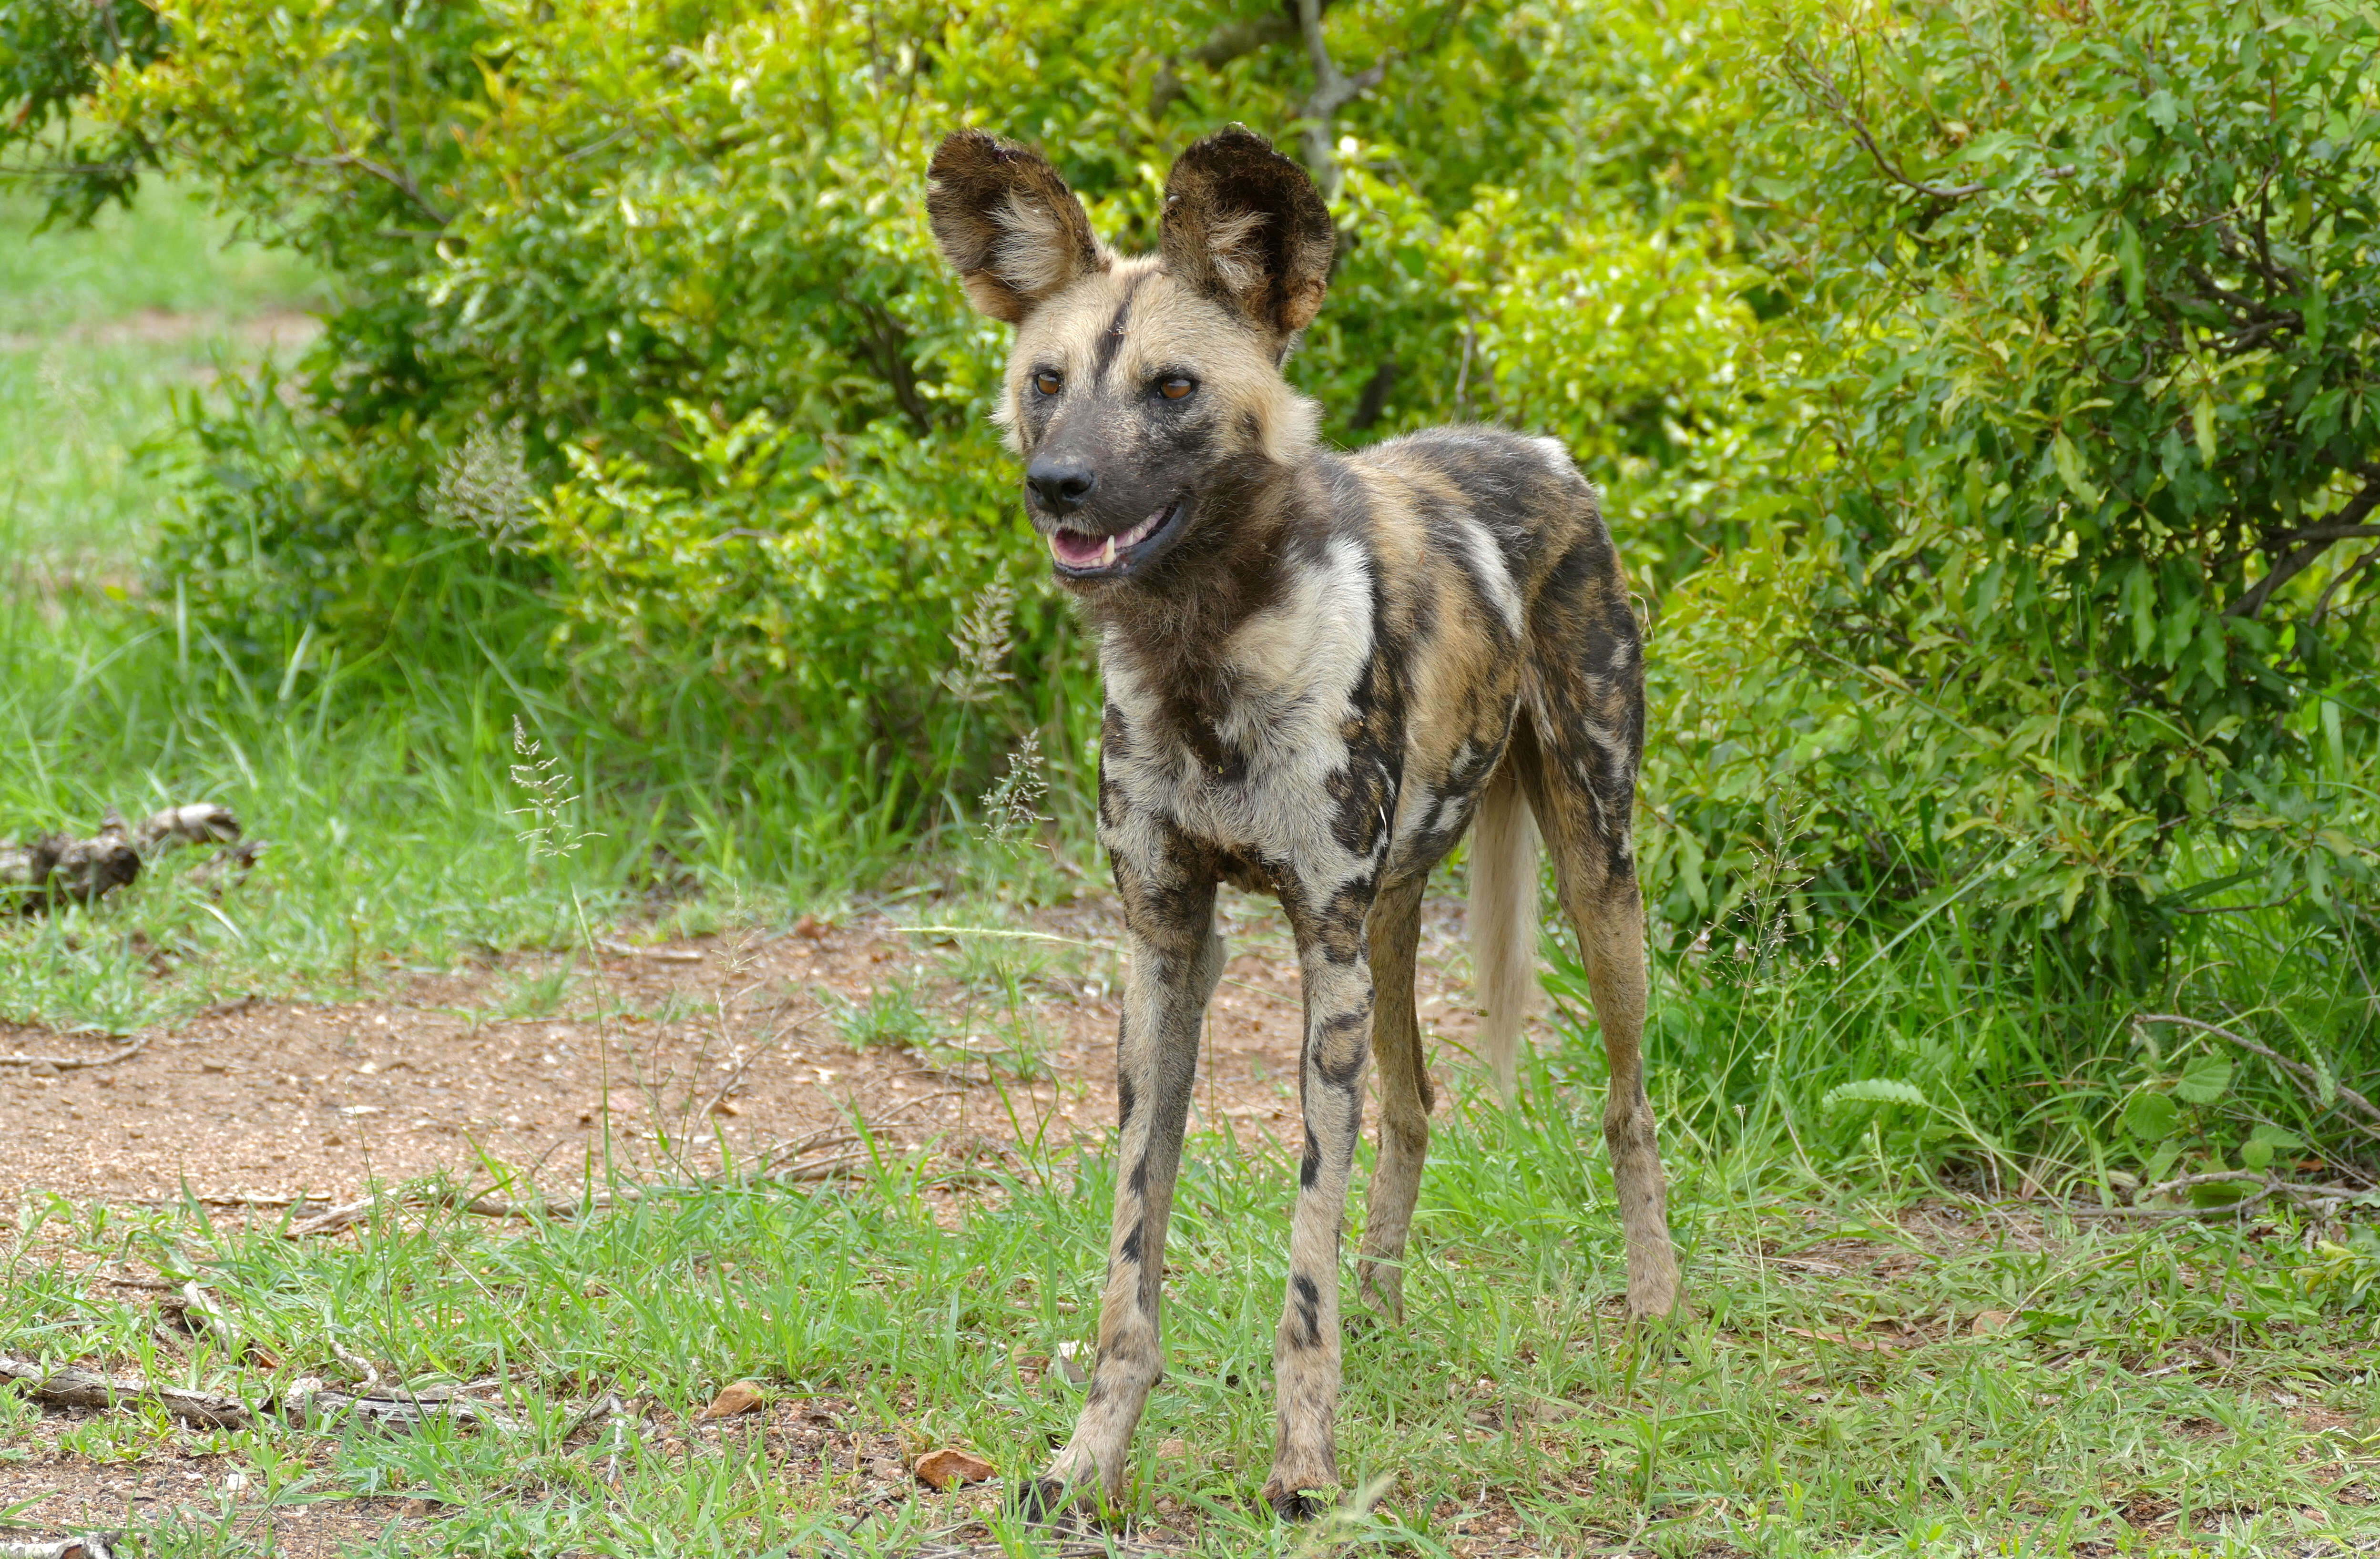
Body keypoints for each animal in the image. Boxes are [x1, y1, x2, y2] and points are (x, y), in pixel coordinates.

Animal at [919, 125, 1685, 1523]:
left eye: (1171, 387)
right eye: (1047, 381)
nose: (1057, 485)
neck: (1204, 650)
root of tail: (1540, 448)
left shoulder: (1315, 948)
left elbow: (1301, 1268)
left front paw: (1304, 1466)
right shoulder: (1168, 947)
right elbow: (1129, 1264)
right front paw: (1088, 1460)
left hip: (1595, 879)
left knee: (1625, 1101)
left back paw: (1656, 1302)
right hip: (1388, 919)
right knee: (1417, 1100)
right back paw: (1388, 1304)